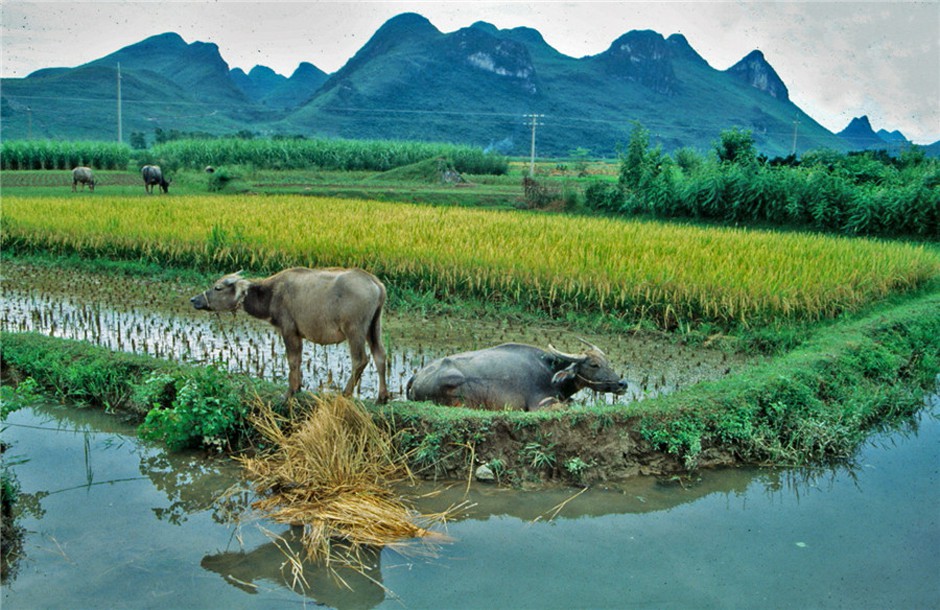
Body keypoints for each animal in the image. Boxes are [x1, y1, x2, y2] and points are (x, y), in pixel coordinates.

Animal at [191, 264, 390, 400]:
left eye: (218, 287)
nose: (194, 300)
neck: (271, 294)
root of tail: (376, 283)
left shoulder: (288, 330)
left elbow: (292, 360)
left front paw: (290, 392)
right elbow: (299, 360)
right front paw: (298, 387)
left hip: (354, 330)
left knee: (360, 360)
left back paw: (346, 393)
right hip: (374, 327)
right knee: (380, 355)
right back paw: (382, 397)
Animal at [408, 340, 628, 410]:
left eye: (608, 362)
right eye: (594, 364)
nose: (622, 384)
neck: (550, 373)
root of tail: (415, 378)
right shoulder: (541, 404)